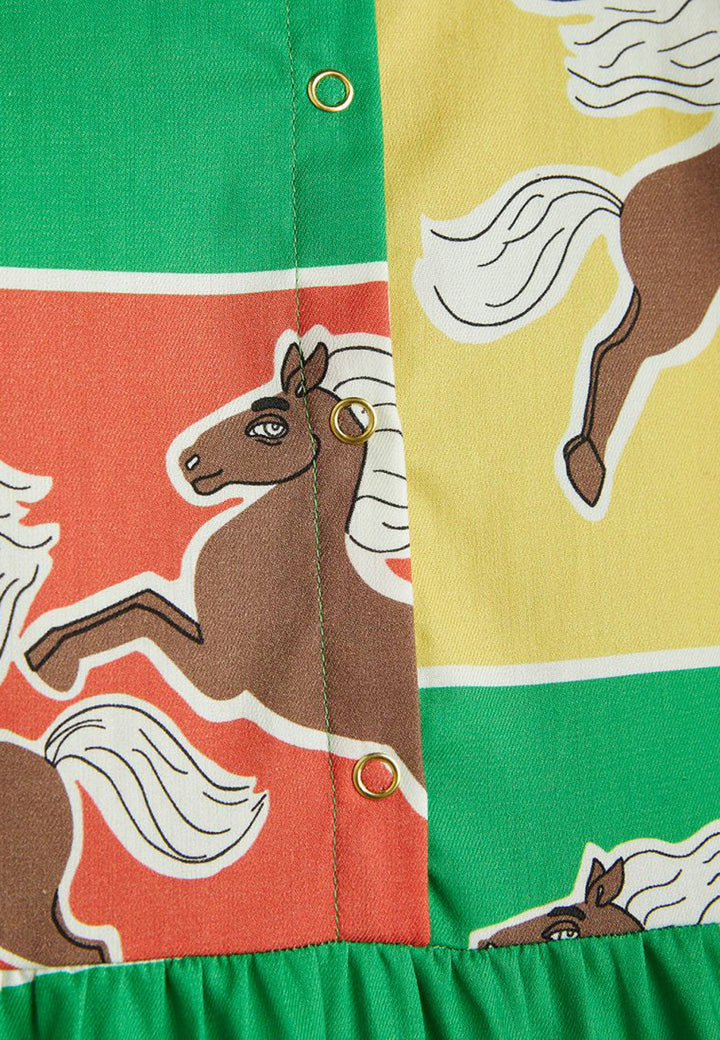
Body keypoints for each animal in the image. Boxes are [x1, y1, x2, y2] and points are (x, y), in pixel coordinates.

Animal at [23, 329, 425, 787]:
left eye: (270, 426)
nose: (189, 461)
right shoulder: (203, 633)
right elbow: (142, 600)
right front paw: (45, 649)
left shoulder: (218, 674)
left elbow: (140, 616)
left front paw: (56, 666)